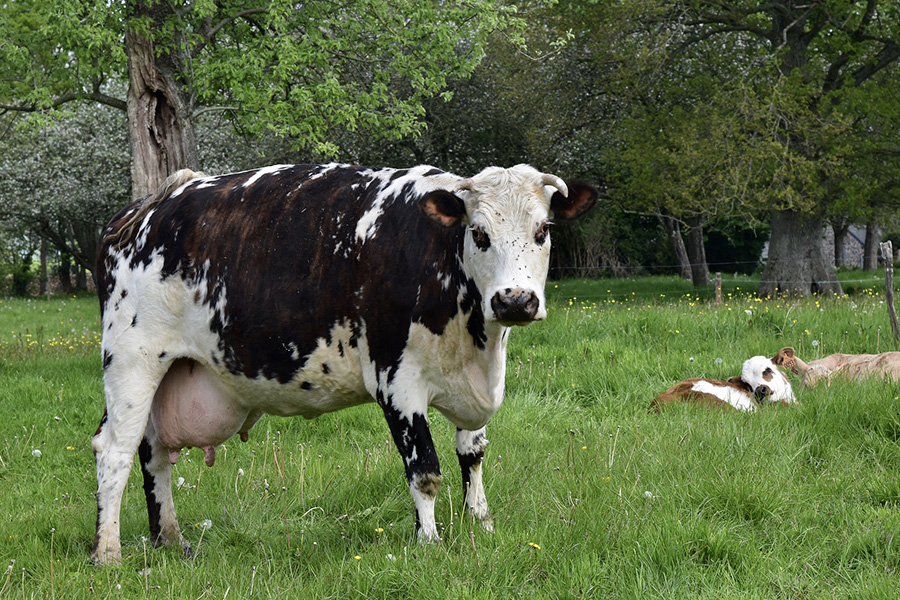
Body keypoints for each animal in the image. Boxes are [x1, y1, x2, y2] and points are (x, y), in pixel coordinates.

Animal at [90, 163, 597, 565]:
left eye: (543, 230)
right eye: (479, 233)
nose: (515, 300)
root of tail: (147, 206)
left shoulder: (474, 383)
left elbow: (472, 455)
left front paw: (481, 522)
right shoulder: (397, 382)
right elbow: (425, 470)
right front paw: (429, 543)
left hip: (169, 370)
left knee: (153, 451)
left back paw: (170, 540)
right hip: (131, 360)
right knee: (115, 449)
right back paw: (108, 553)